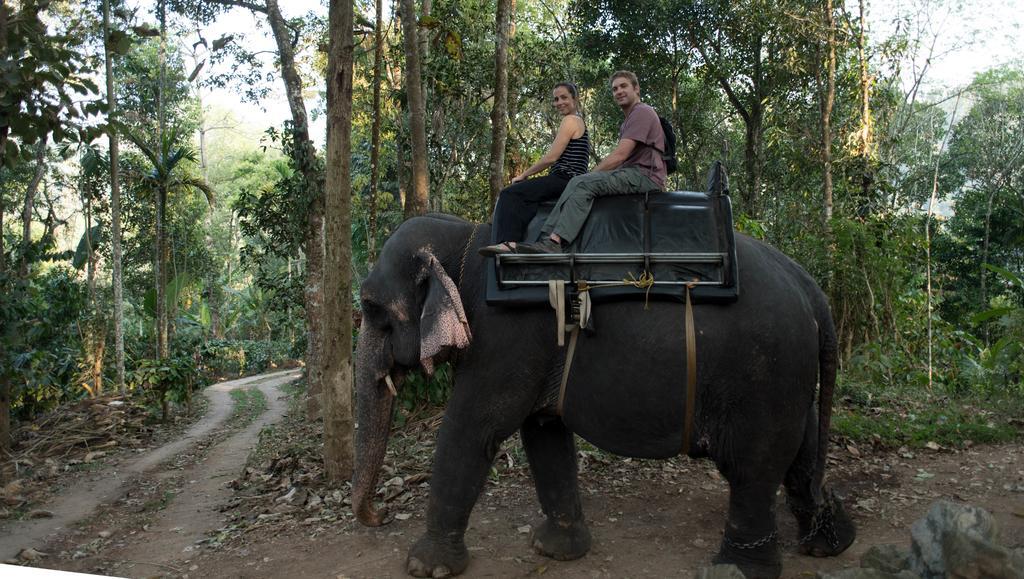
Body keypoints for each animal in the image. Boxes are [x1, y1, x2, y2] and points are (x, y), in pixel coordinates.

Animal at [354, 213, 856, 577]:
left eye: (371, 308)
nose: (380, 515)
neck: (466, 239)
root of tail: (811, 288)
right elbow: (543, 431)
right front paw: (556, 551)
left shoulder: (506, 337)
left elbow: (473, 428)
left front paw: (425, 568)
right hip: (786, 376)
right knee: (802, 444)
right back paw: (830, 542)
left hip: (763, 372)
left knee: (753, 466)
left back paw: (738, 569)